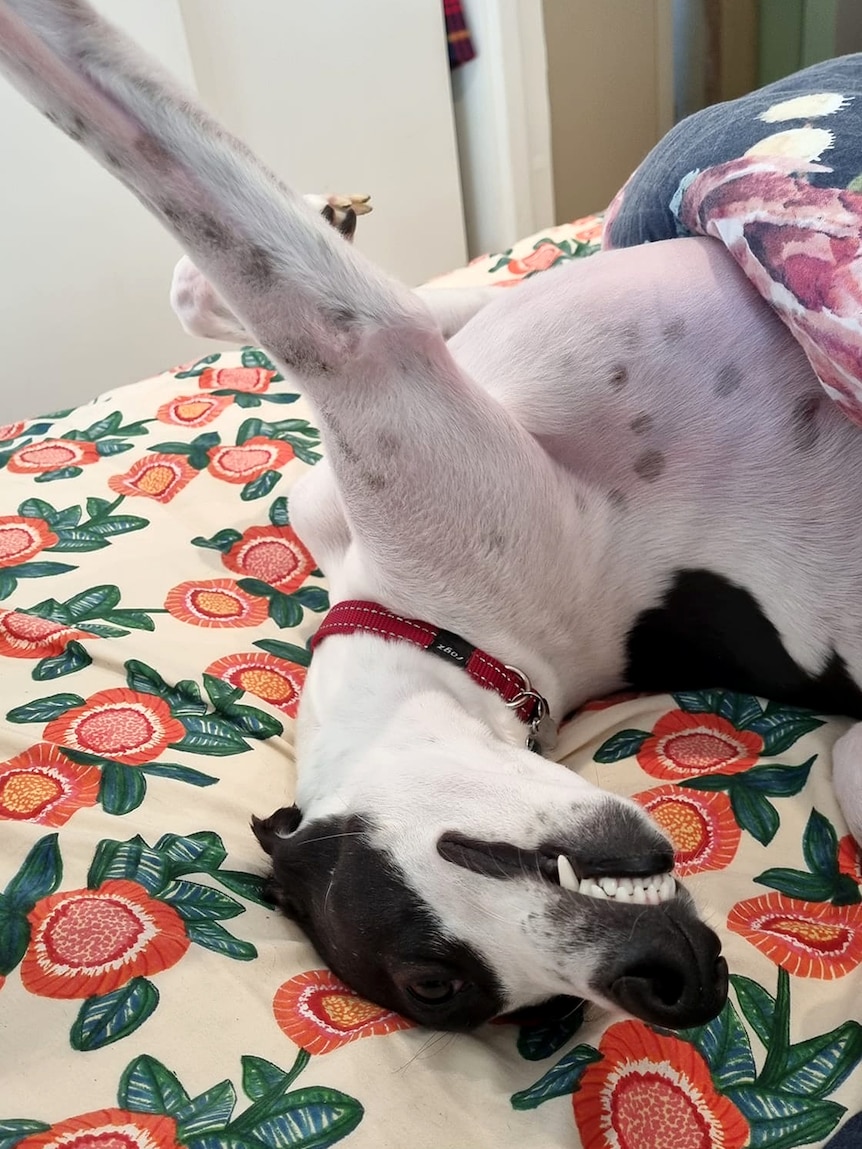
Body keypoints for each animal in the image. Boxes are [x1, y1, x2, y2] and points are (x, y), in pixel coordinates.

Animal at [3, 0, 859, 1034]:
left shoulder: (372, 359)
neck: (436, 627)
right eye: (442, 987)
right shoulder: (389, 366)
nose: (676, 988)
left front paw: (300, 228)